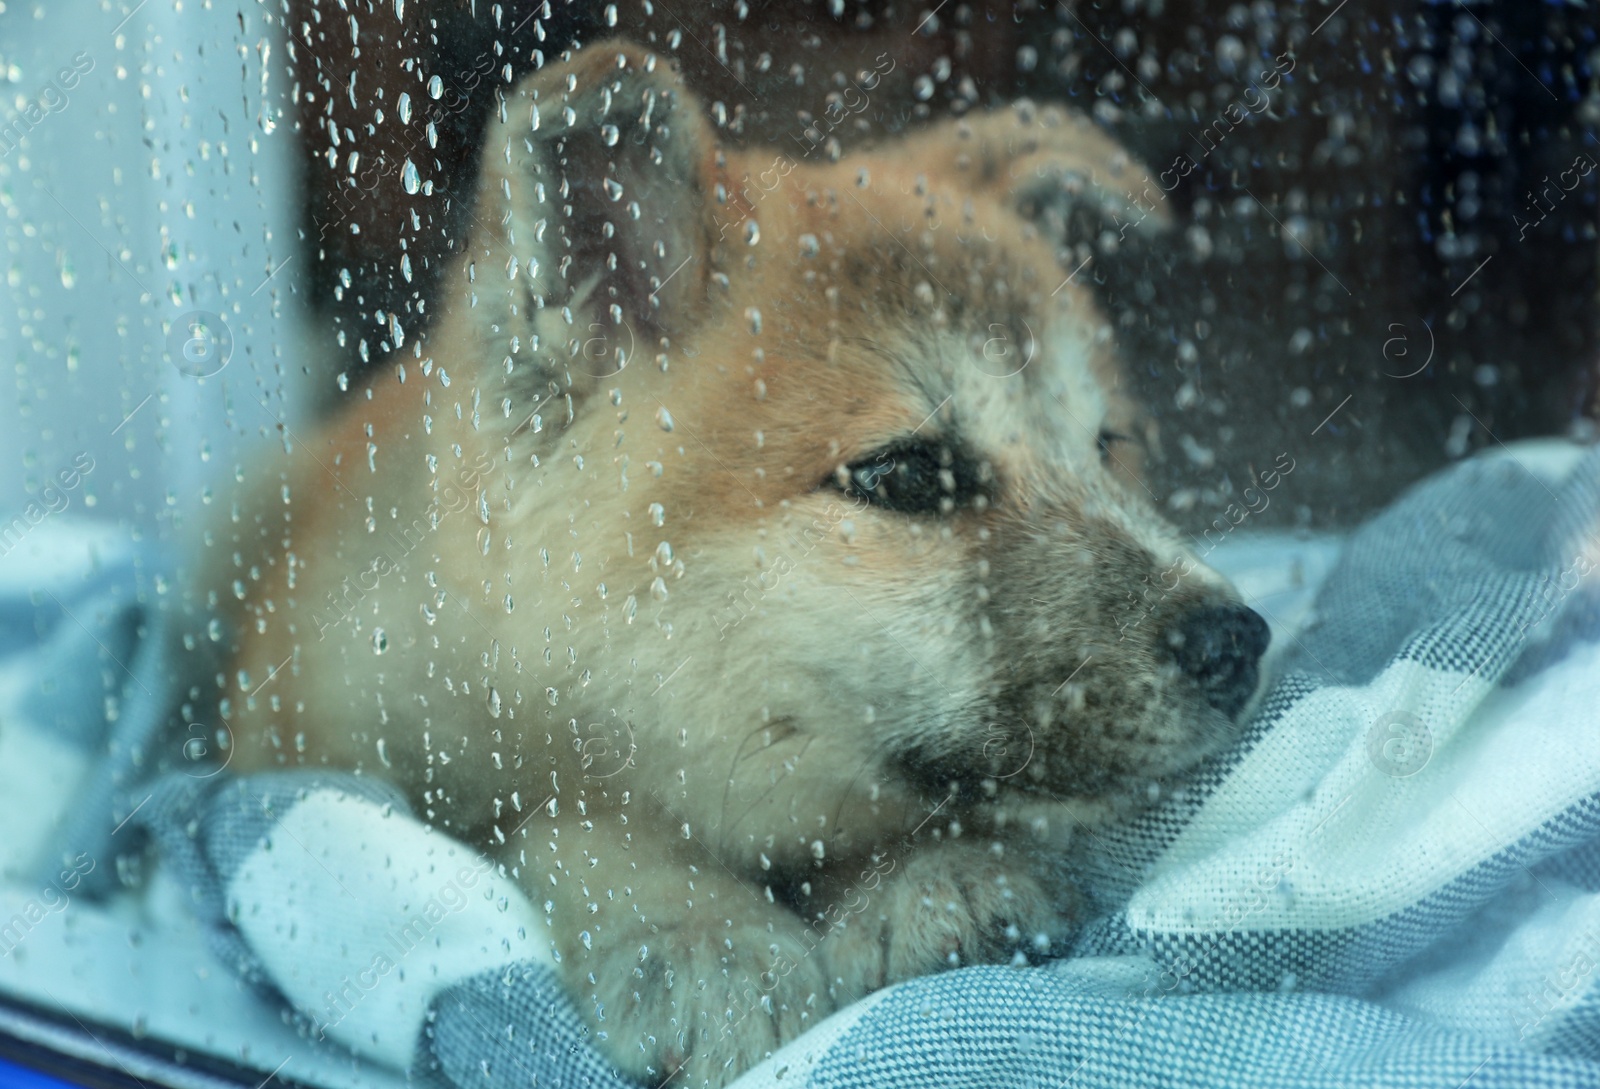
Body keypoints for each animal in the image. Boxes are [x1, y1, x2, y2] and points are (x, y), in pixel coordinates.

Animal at [216, 38, 1260, 1081]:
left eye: (1109, 446)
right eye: (909, 475)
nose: (1238, 641)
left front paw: (924, 874)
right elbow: (569, 828)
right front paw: (700, 936)